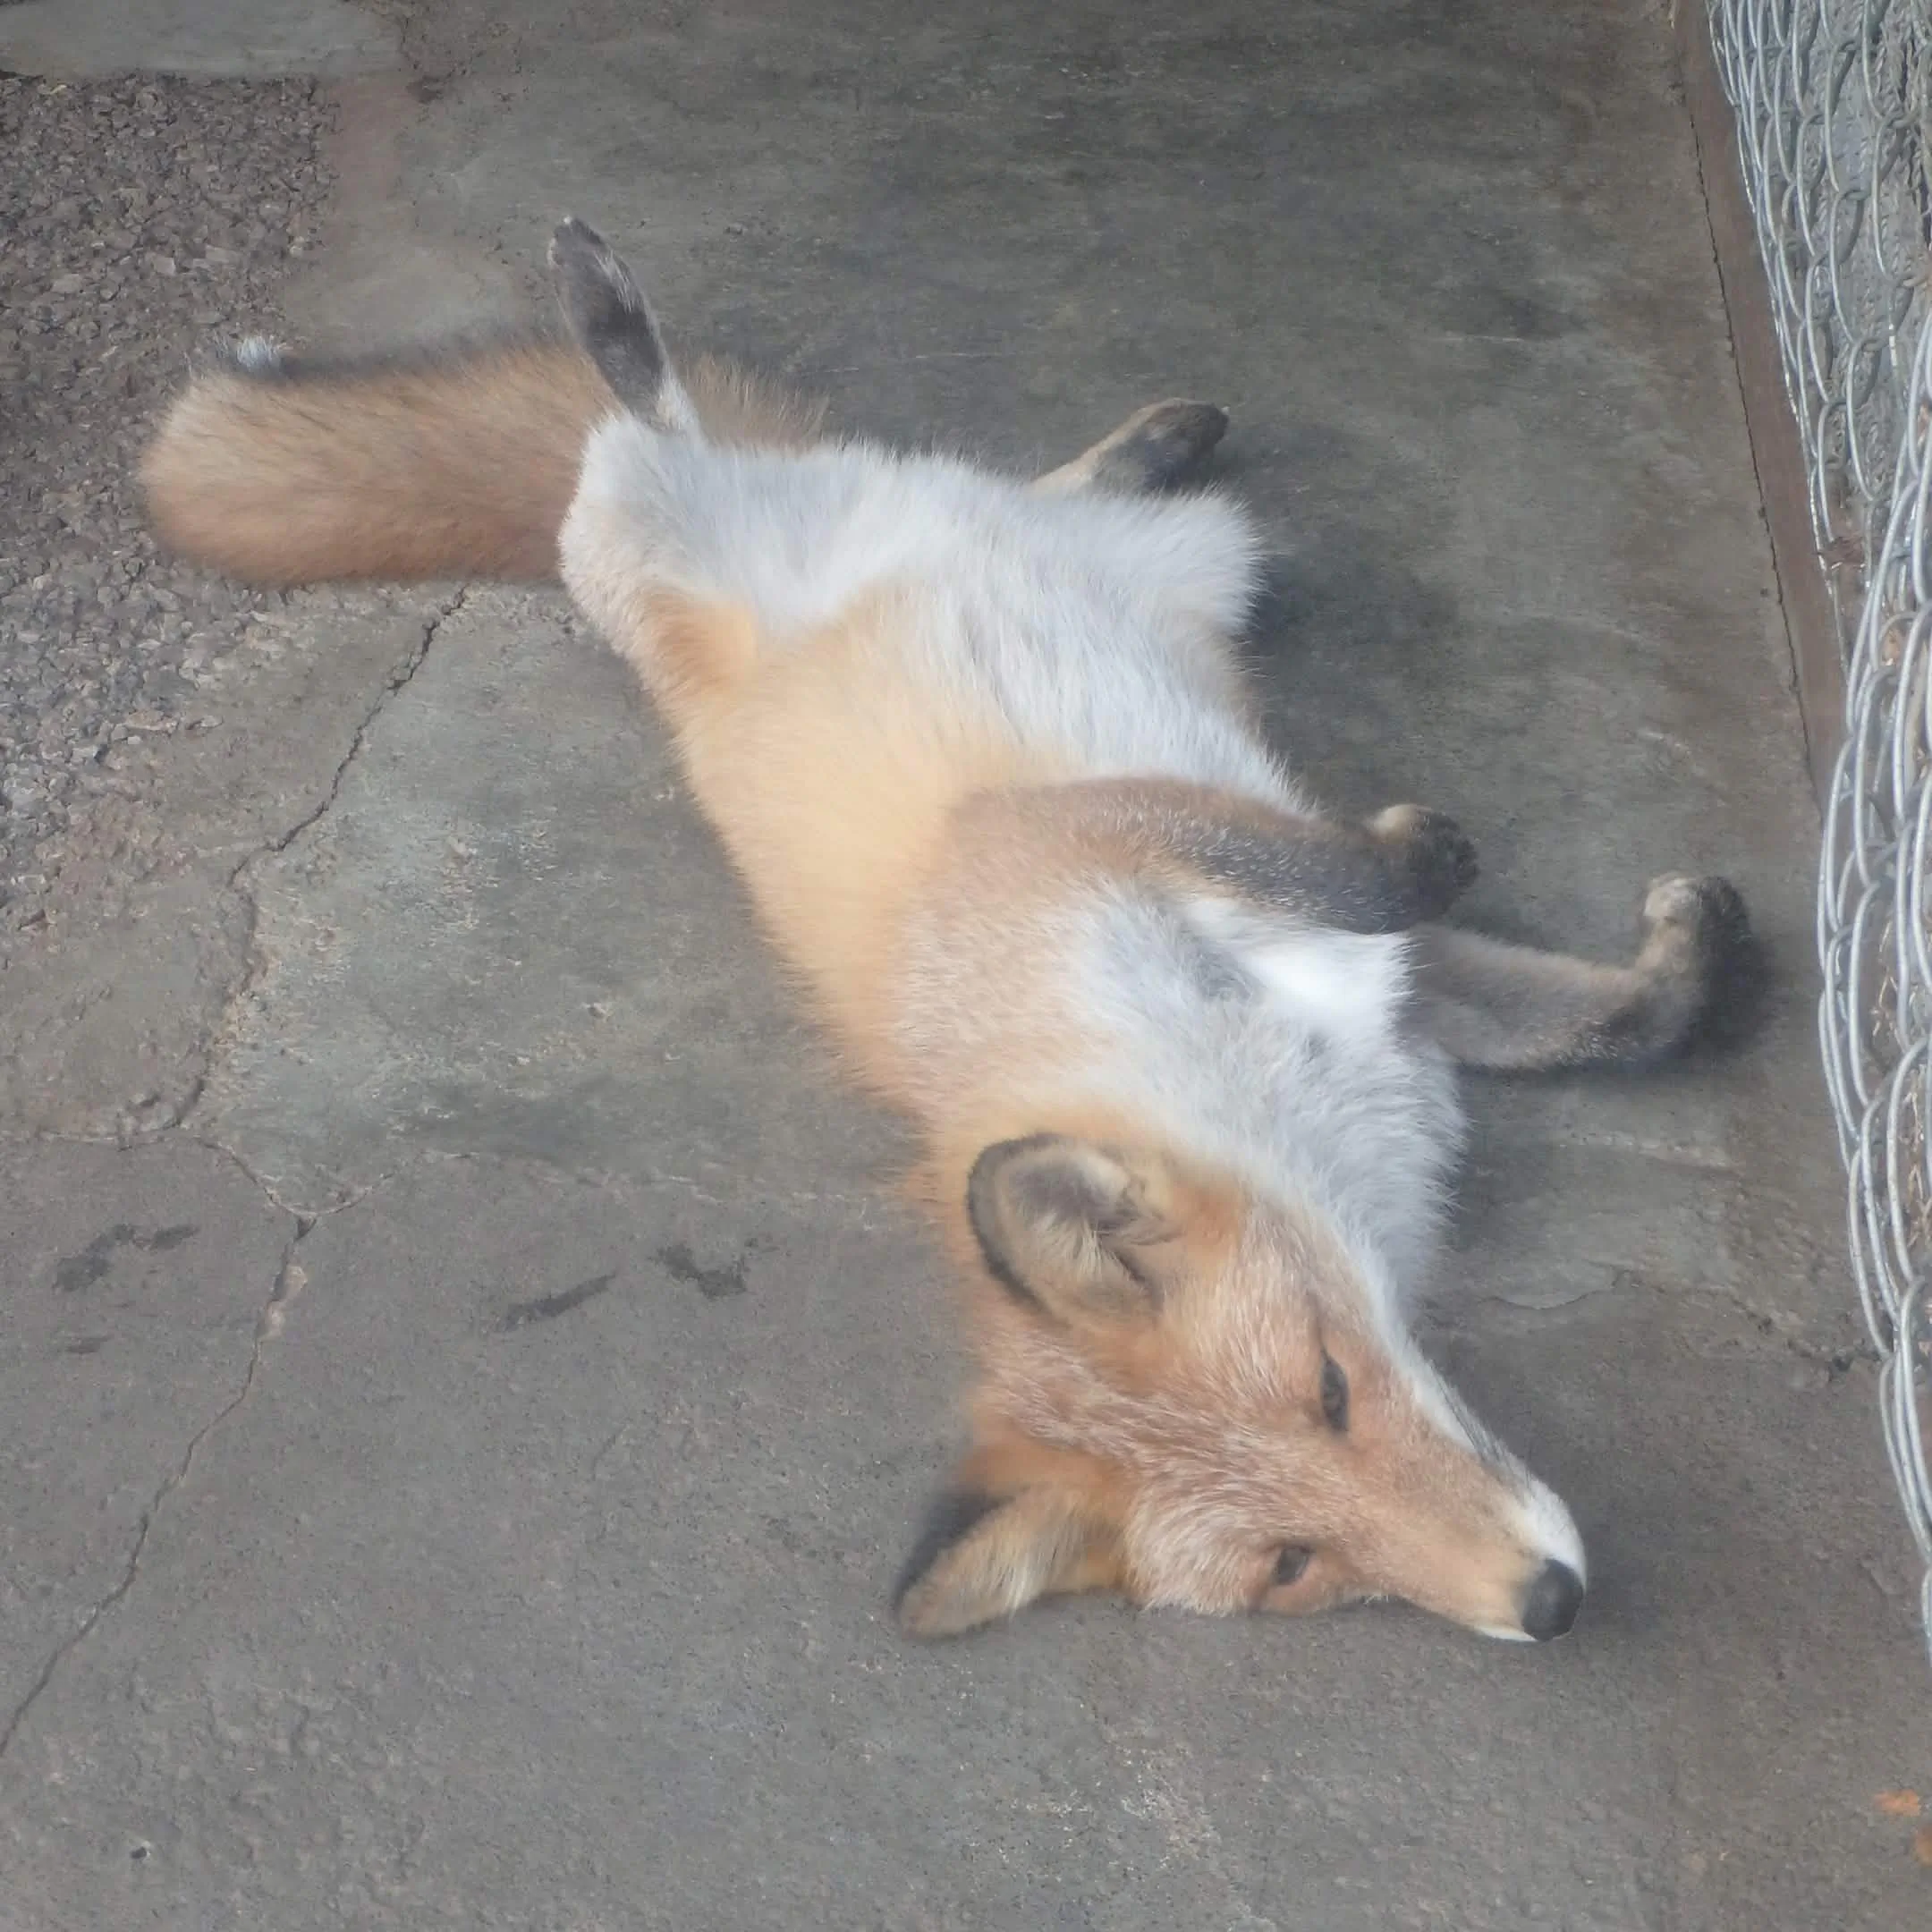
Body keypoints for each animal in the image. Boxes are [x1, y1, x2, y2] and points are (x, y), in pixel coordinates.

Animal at [141, 219, 1756, 1644]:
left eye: (1332, 1390)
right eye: (1297, 1565)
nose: (1549, 1605)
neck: (1209, 1075)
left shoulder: (1082, 842)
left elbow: (1417, 908)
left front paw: (1516, 878)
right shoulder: (1358, 986)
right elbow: (1592, 1004)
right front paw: (1675, 951)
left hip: (756, 523)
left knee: (692, 422)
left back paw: (631, 306)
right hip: (690, 539)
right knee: (705, 440)